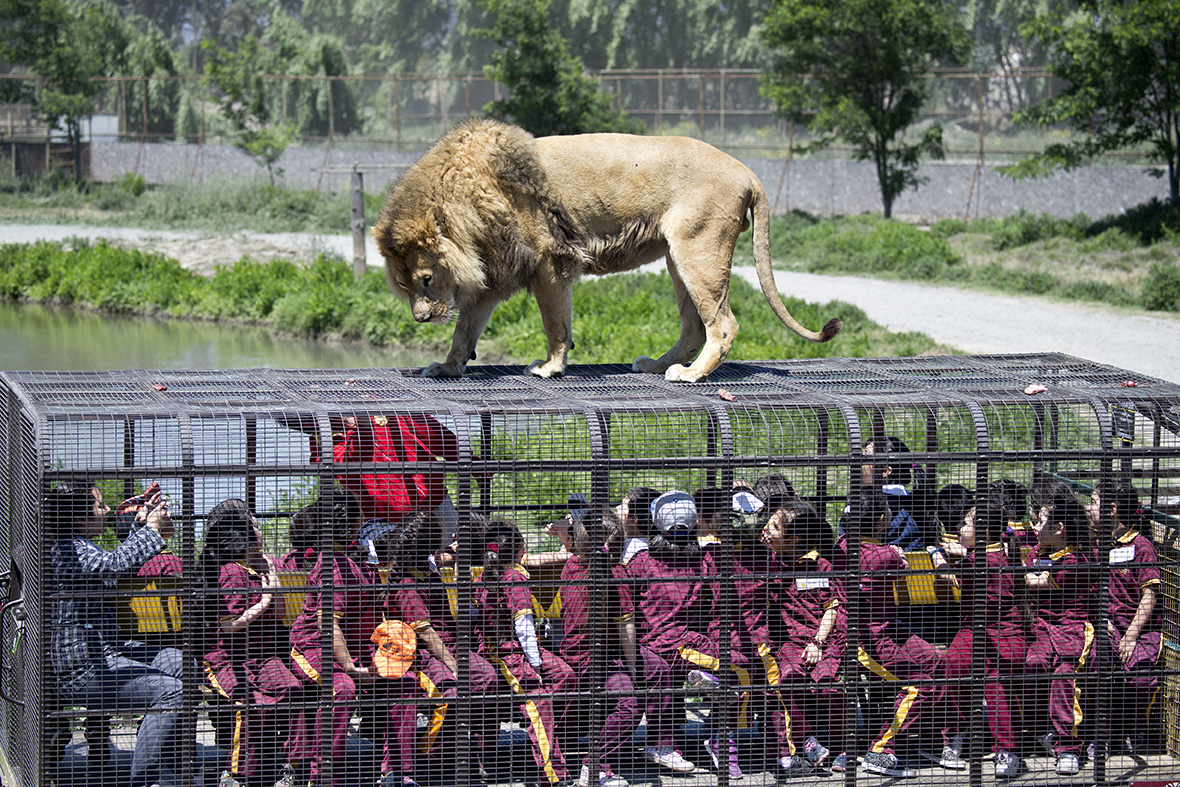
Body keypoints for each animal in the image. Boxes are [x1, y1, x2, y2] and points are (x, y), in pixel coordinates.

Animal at [368, 117, 840, 384]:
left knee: (722, 324)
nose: (420, 317)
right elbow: (464, 331)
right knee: (693, 327)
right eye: (404, 286)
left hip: (699, 250)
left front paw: (549, 368)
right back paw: (658, 365)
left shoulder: (551, 263)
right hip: (677, 258)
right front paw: (446, 368)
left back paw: (689, 376)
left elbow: (556, 325)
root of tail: (746, 171)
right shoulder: (493, 276)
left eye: (426, 279)